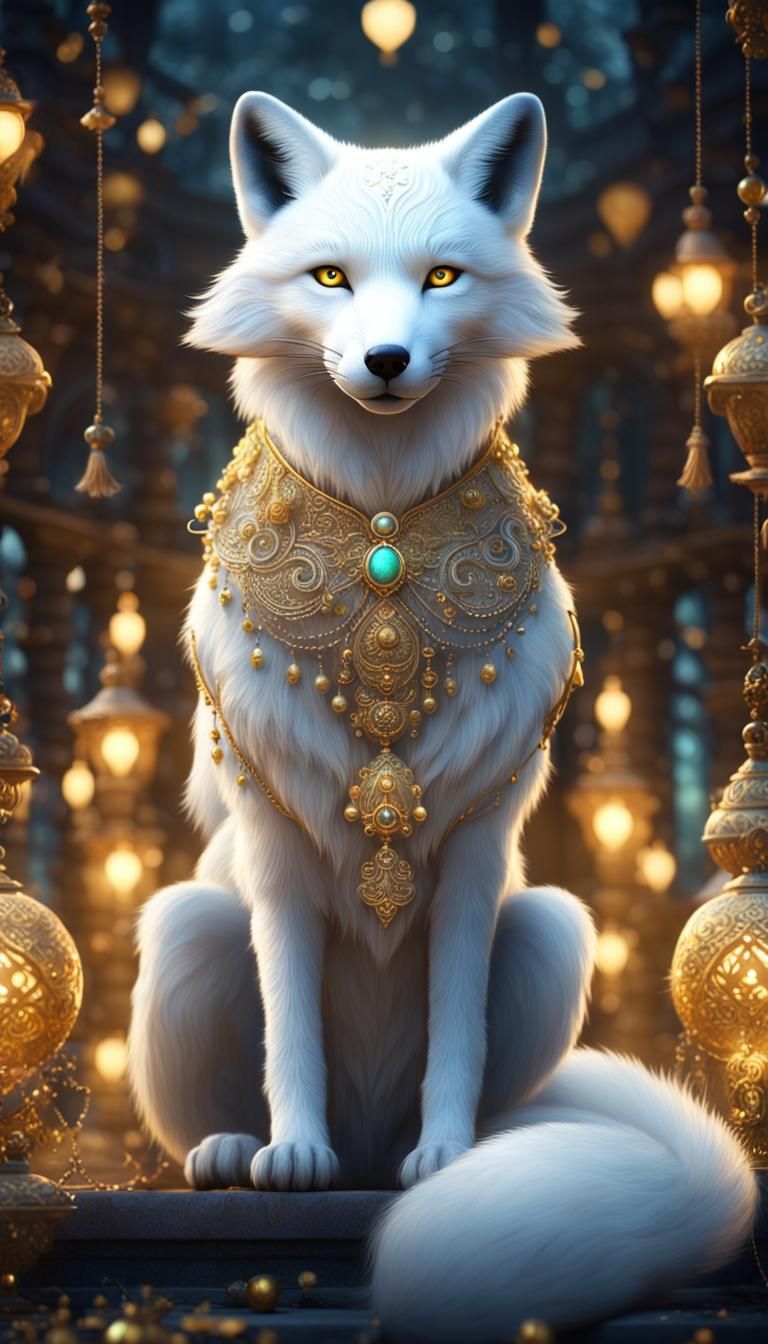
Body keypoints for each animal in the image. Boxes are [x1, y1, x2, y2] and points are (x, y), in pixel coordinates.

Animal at [127, 91, 756, 1340]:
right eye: (329, 276)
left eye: (442, 278)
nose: (384, 360)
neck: (378, 544)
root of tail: (374, 1138)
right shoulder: (270, 847)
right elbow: (291, 1028)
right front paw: (294, 1155)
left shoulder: (477, 849)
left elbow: (455, 1034)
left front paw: (453, 1158)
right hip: (184, 926)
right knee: (216, 1097)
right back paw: (236, 1153)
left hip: (554, 927)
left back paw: (442, 1154)